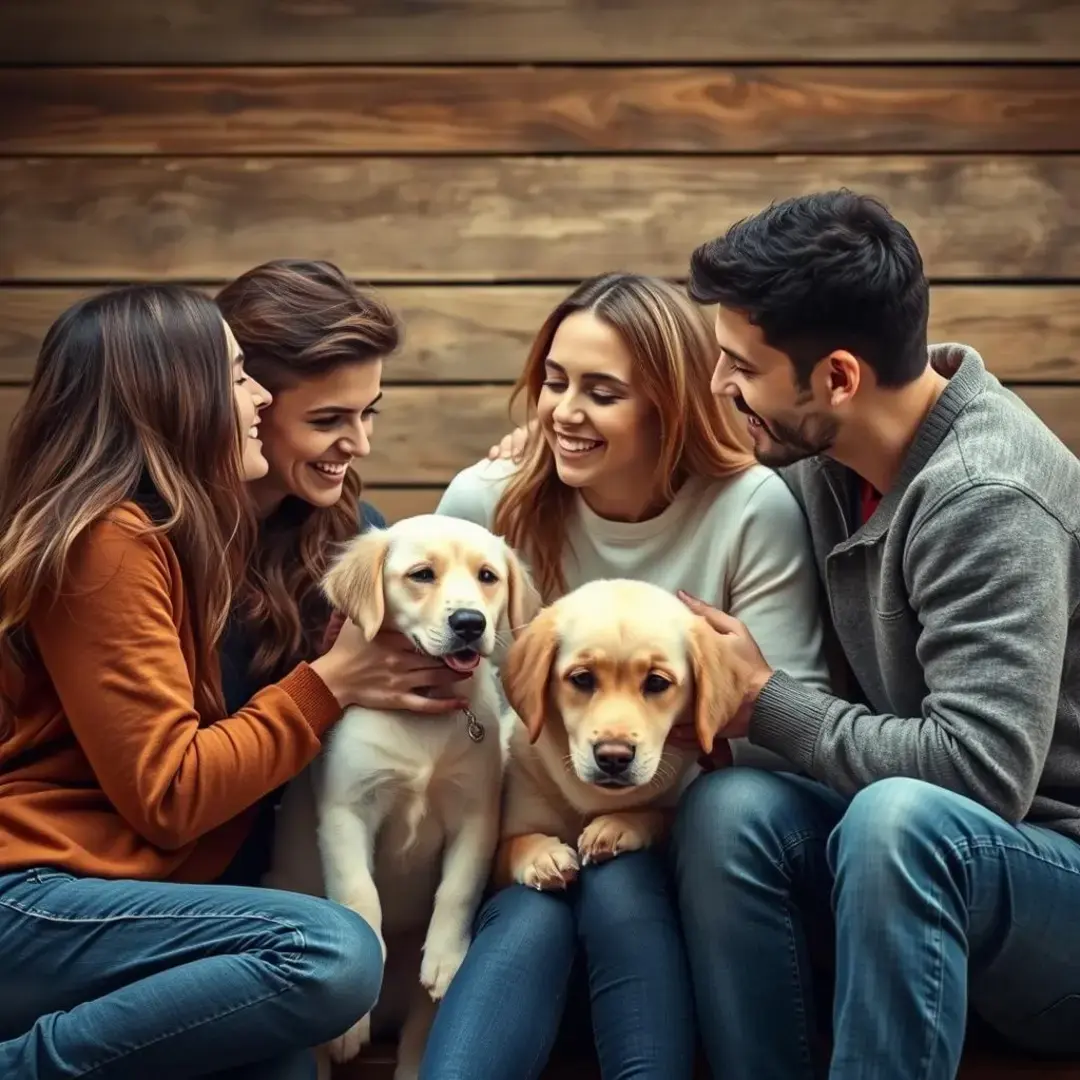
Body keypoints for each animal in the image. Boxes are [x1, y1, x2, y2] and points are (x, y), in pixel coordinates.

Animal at [494, 578, 747, 889]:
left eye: (656, 682)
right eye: (582, 678)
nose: (613, 757)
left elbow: (660, 814)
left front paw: (618, 824)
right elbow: (515, 843)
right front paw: (541, 855)